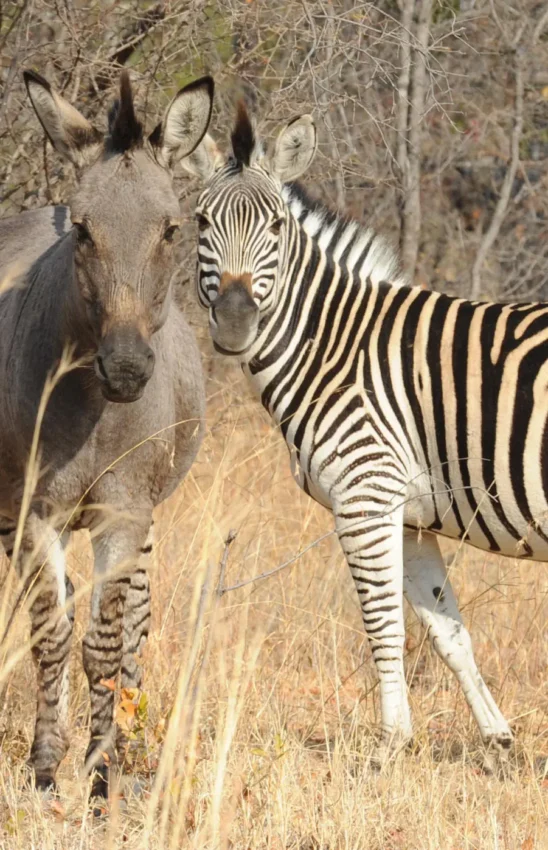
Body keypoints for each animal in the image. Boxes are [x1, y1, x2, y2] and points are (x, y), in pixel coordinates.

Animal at [181, 102, 548, 761]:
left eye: (276, 226)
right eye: (200, 221)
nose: (235, 322)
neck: (334, 346)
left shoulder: (364, 495)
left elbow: (383, 625)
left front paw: (391, 743)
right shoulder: (410, 517)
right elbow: (448, 632)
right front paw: (497, 737)